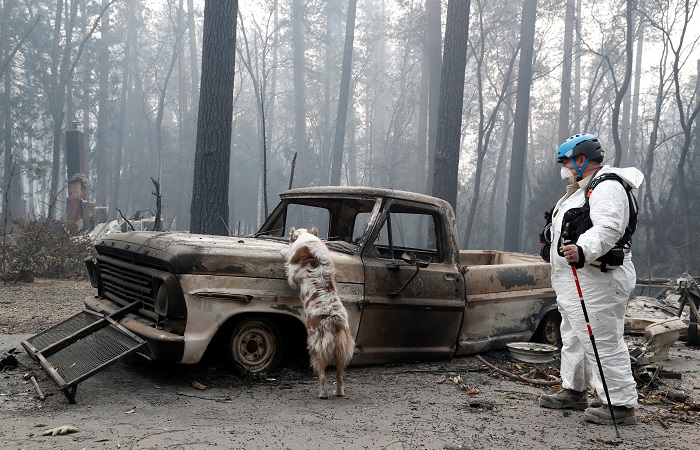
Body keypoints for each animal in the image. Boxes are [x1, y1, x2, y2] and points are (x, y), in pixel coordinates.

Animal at [280, 229, 356, 398]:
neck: (309, 241)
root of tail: (333, 321)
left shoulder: (292, 274)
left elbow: (289, 262)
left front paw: (283, 251)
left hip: (316, 349)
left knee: (322, 376)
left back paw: (323, 393)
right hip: (342, 351)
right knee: (339, 376)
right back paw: (339, 392)